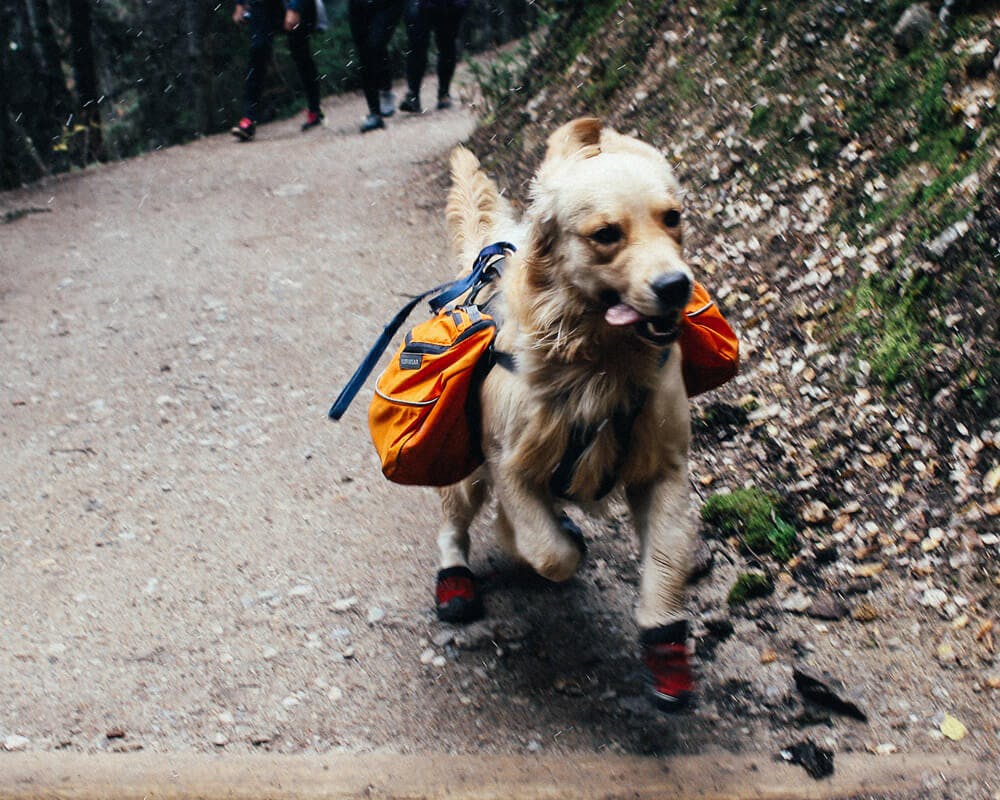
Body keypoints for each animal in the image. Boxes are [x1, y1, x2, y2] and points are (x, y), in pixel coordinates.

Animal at [434, 117, 700, 708]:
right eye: (606, 234)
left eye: (672, 217)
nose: (675, 287)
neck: (600, 365)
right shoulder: (509, 461)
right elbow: (548, 550)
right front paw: (534, 542)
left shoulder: (665, 466)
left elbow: (667, 563)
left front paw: (665, 645)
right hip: (465, 474)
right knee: (452, 524)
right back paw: (454, 579)